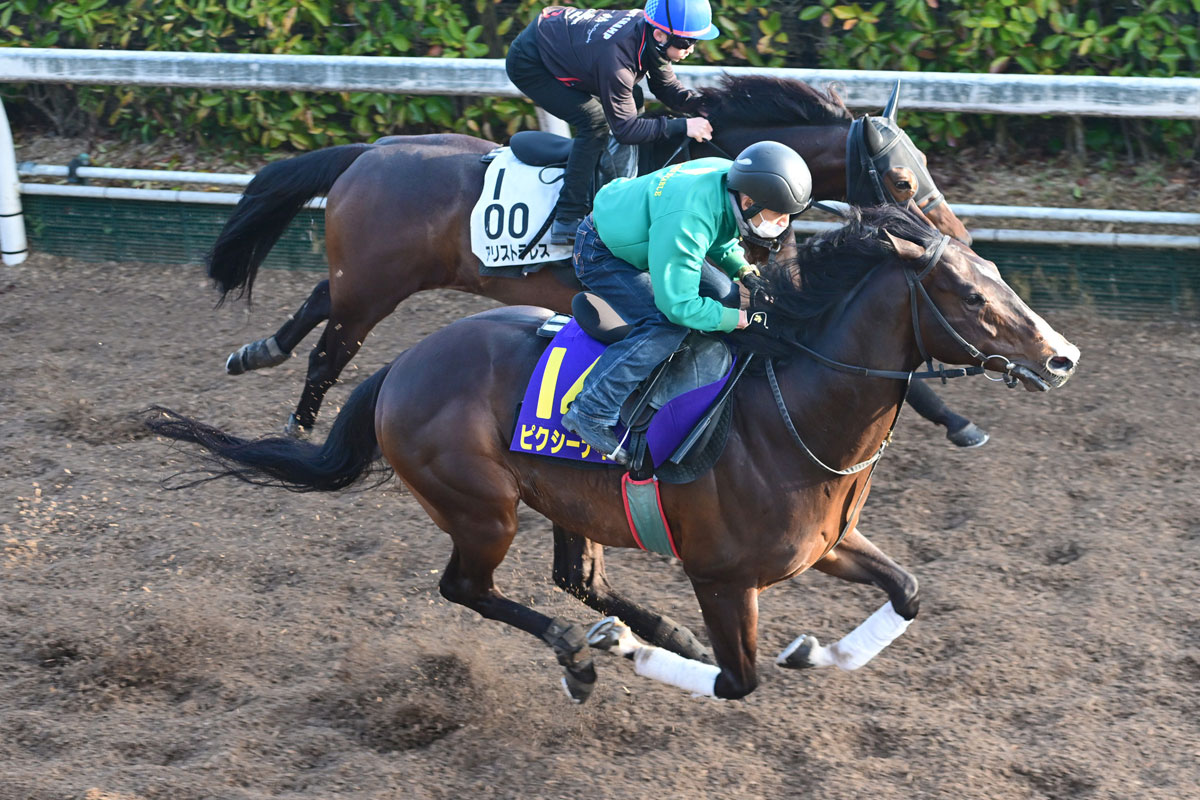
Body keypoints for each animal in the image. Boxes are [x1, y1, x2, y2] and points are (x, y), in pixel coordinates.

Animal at [151, 204, 1078, 702]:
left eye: (997, 273)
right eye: (967, 295)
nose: (1063, 355)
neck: (791, 420)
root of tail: (401, 366)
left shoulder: (826, 543)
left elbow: (910, 592)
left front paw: (813, 651)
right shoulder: (722, 575)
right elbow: (740, 682)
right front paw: (631, 653)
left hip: (567, 500)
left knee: (577, 577)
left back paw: (642, 632)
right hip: (481, 509)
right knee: (470, 589)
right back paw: (583, 654)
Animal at [207, 74, 972, 437]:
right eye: (903, 181)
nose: (955, 237)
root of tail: (369, 151)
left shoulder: (774, 283)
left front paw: (956, 417)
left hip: (367, 274)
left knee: (317, 302)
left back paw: (256, 353)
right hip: (375, 287)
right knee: (329, 353)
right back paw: (299, 426)